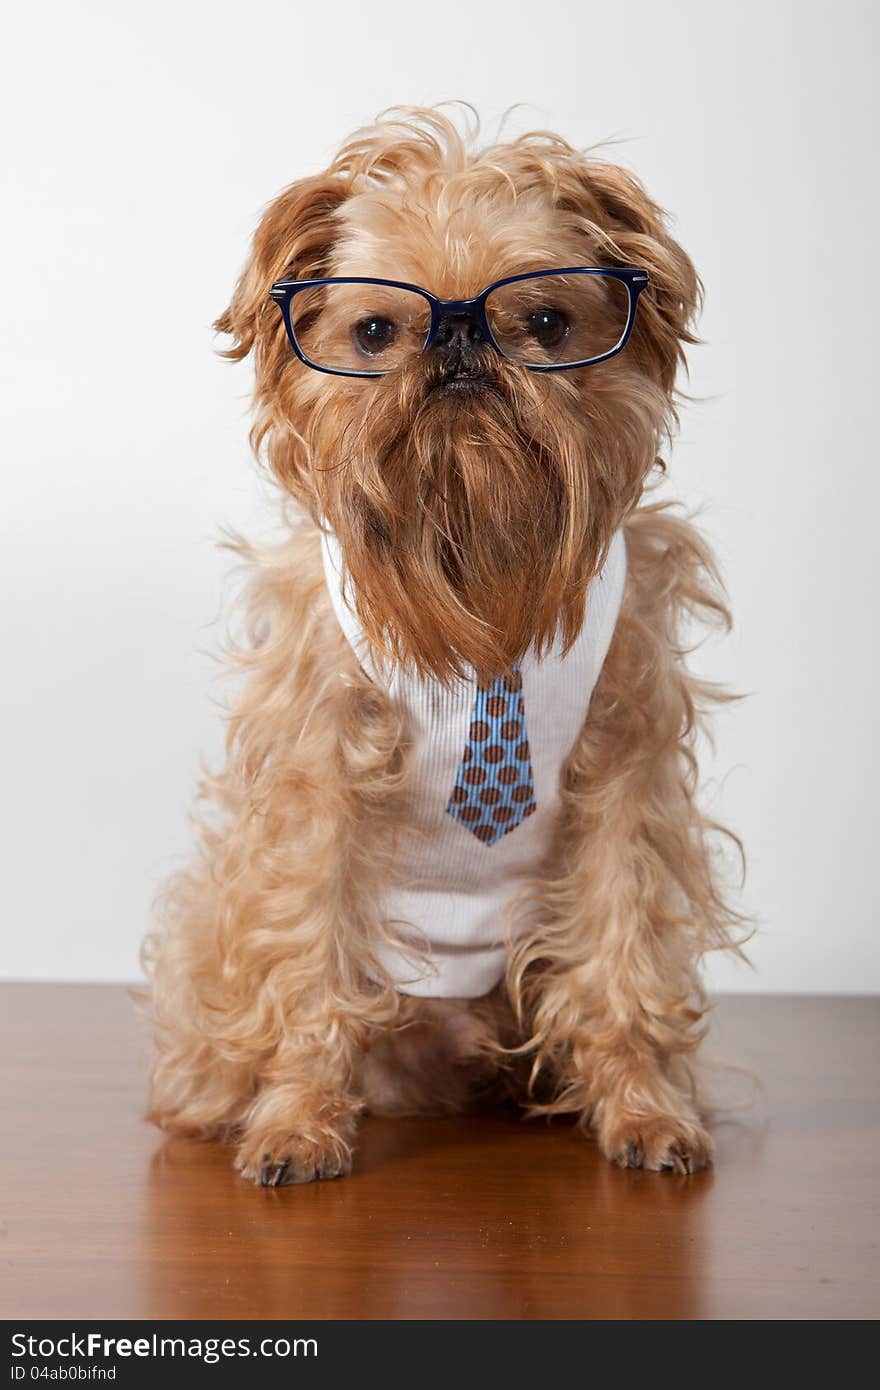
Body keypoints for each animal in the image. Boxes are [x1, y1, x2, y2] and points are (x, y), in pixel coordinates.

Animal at [142, 105, 739, 1184]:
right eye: (376, 331)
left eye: (546, 323)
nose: (458, 335)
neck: (478, 575)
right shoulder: (317, 782)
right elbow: (306, 952)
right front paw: (297, 1120)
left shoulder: (626, 768)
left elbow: (623, 941)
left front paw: (643, 1108)